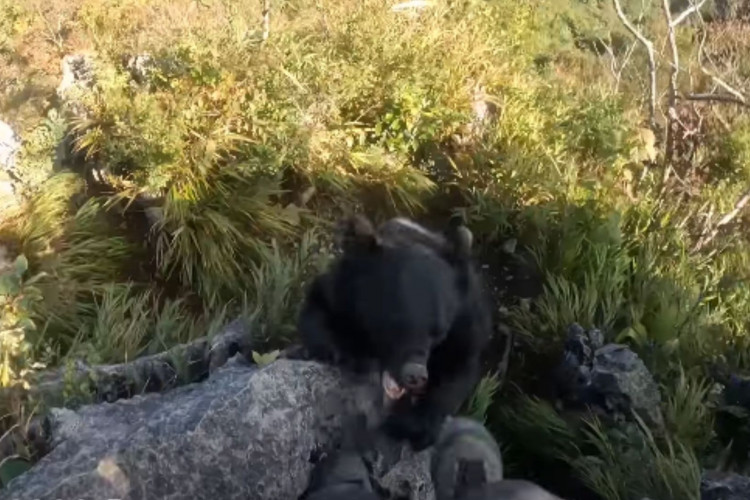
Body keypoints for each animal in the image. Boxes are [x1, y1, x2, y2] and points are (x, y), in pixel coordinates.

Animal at [300, 215, 494, 450]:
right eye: (394, 324)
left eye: (438, 332)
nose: (415, 375)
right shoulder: (342, 289)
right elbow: (319, 305)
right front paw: (341, 352)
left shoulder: (466, 320)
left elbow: (459, 368)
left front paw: (412, 426)